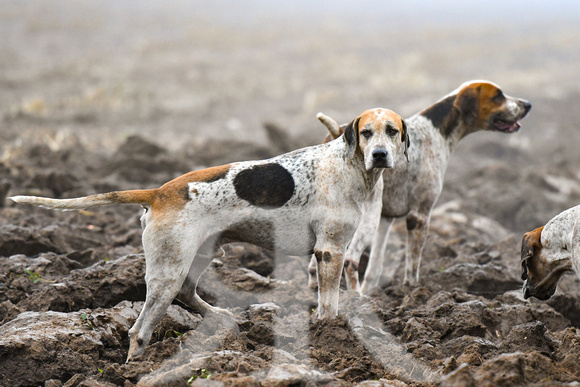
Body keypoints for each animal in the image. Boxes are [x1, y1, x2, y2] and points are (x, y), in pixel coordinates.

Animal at [10, 107, 408, 362]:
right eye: (366, 133)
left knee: (188, 293)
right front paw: (334, 336)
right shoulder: (330, 251)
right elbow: (329, 305)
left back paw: (221, 318)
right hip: (167, 272)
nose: (380, 154)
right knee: (141, 329)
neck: (348, 165)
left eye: (392, 130)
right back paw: (136, 366)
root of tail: (158, 192)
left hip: (202, 254)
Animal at [310, 82, 532, 294]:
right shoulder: (419, 216)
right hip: (366, 220)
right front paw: (412, 289)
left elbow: (375, 267)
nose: (527, 104)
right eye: (498, 95)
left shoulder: (386, 219)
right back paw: (356, 297)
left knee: (316, 263)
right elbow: (412, 265)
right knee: (350, 260)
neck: (437, 130)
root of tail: (338, 132)